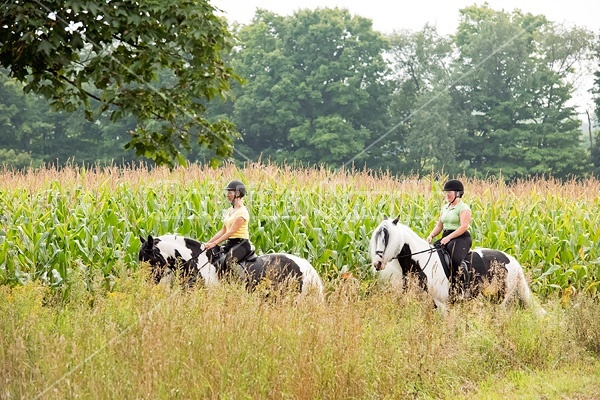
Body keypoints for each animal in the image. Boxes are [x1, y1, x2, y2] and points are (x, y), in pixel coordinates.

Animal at [368, 216, 548, 316]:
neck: (421, 263)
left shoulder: (441, 303)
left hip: (500, 299)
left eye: (387, 238)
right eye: (377, 237)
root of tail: (512, 260)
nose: (377, 263)